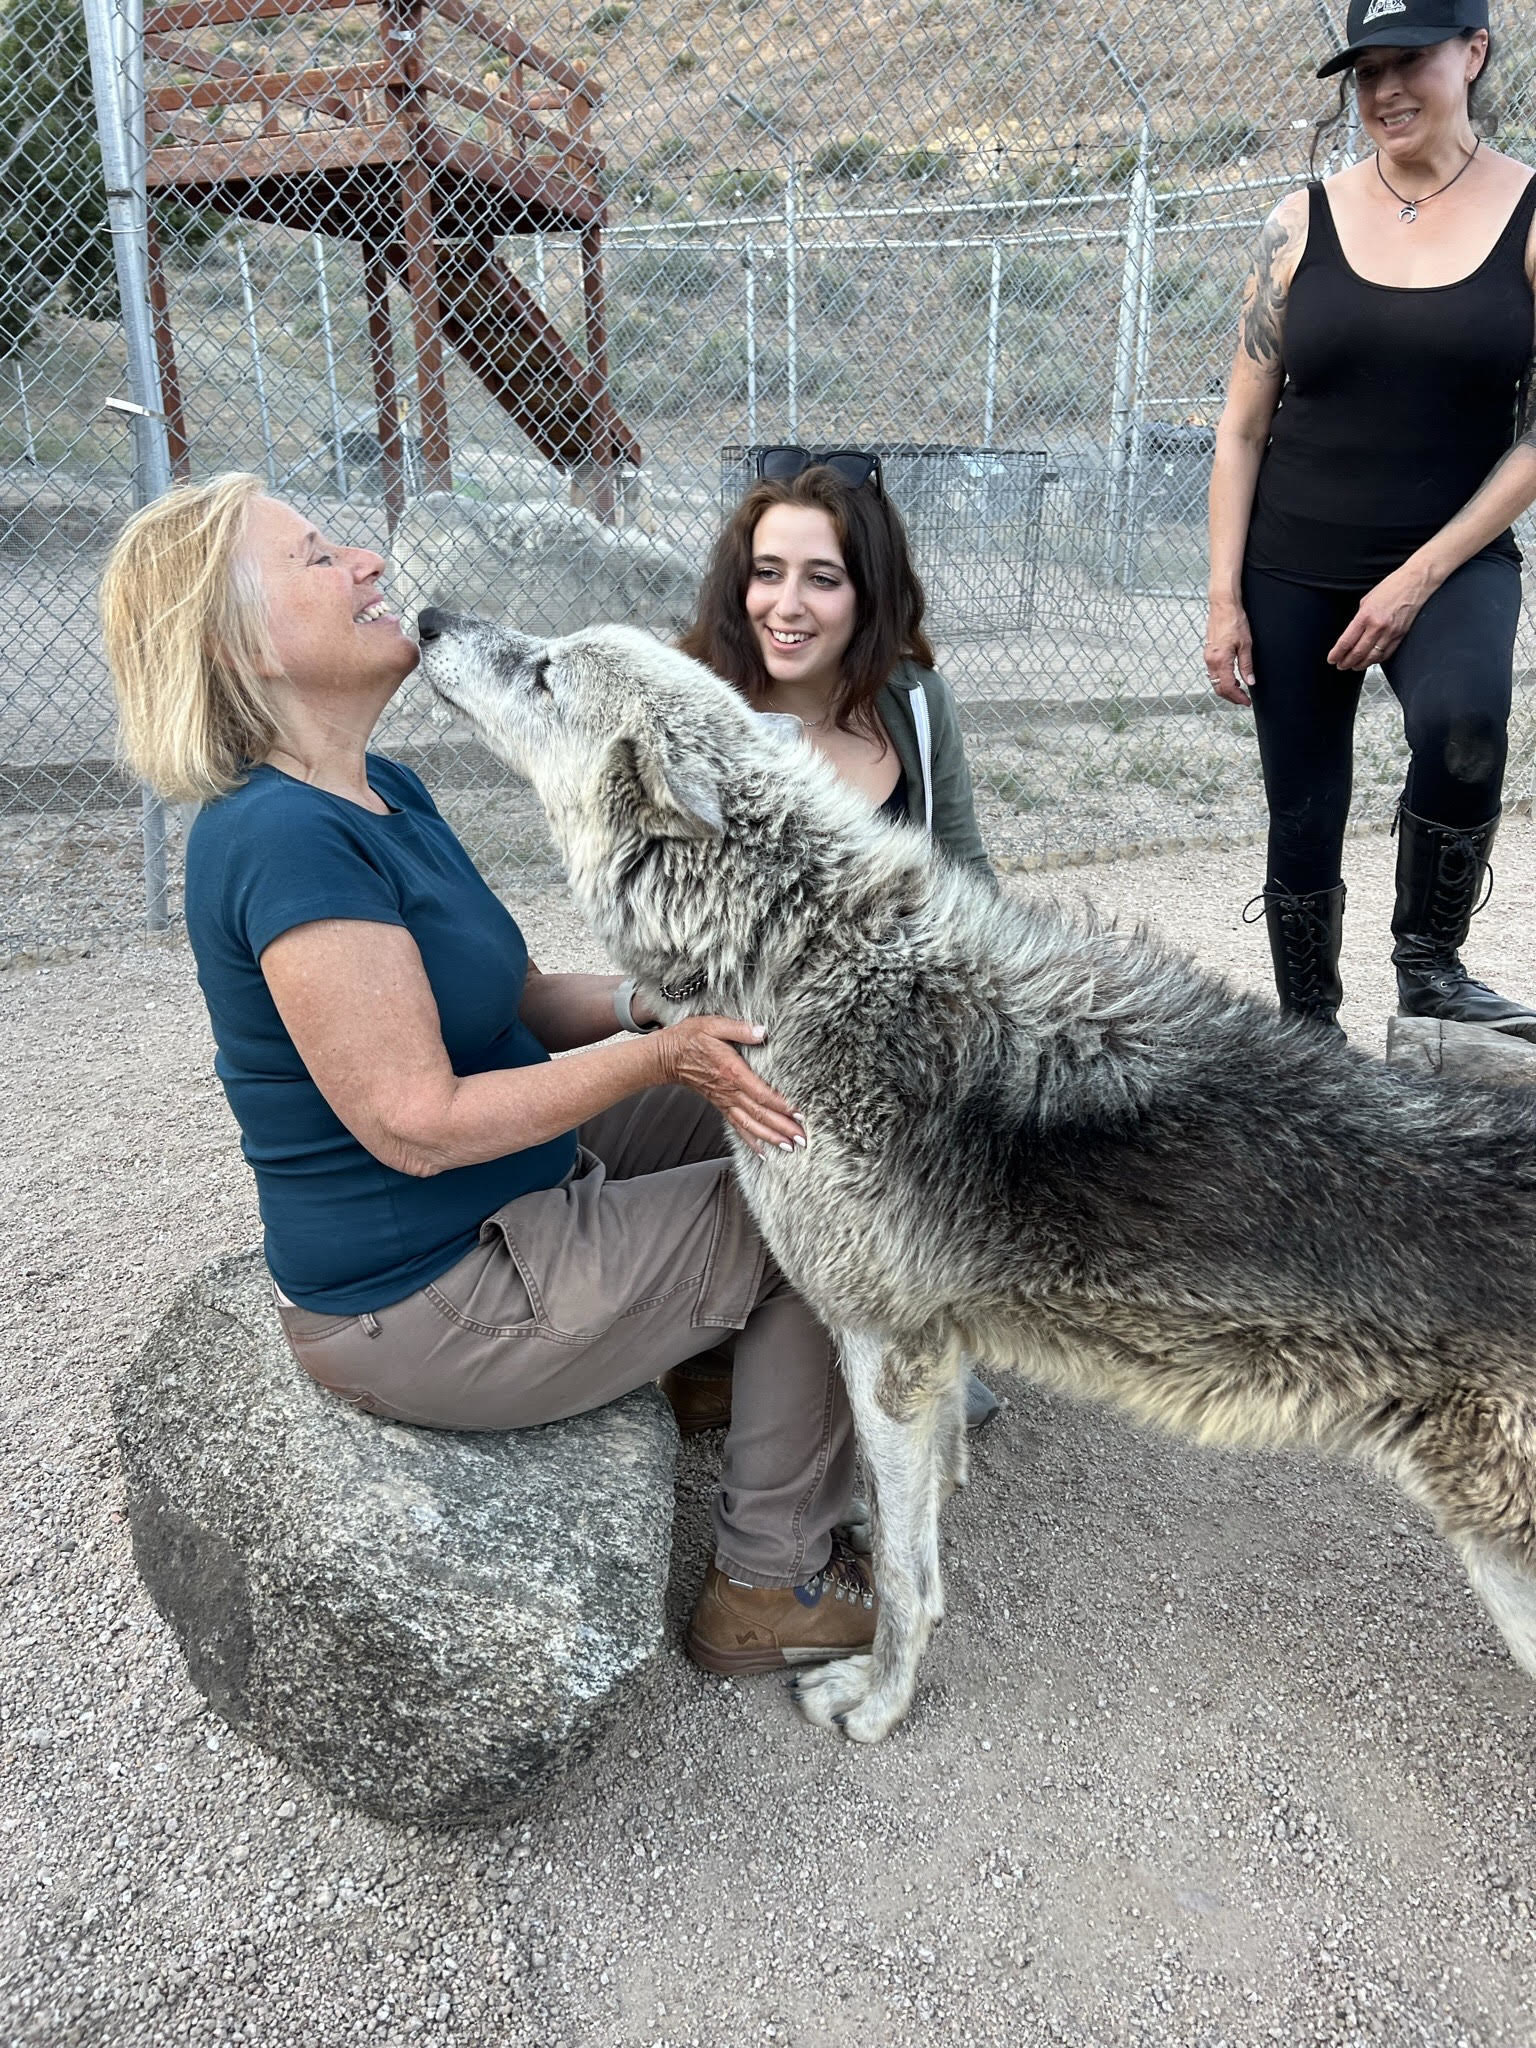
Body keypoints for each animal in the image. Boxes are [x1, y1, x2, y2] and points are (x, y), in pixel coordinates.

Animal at [415, 610, 1536, 1744]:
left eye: (545, 671)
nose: (427, 618)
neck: (800, 955)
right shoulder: (930, 1349)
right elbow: (926, 1499)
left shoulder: (881, 1340)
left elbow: (910, 1576)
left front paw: (876, 1700)